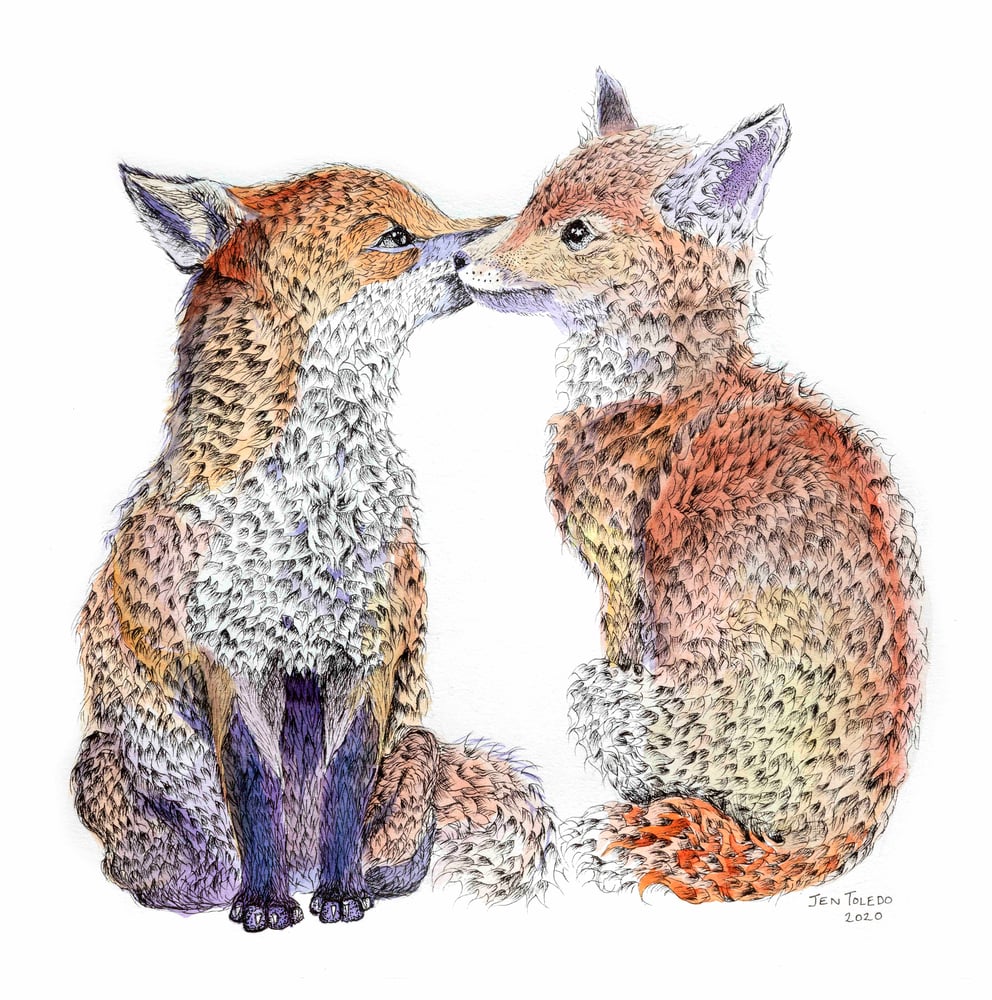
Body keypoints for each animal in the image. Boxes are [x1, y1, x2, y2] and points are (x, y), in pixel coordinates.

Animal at [71, 161, 556, 931]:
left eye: (435, 212)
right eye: (395, 237)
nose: (510, 232)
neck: (308, 522)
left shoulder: (367, 655)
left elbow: (345, 787)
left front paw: (342, 892)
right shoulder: (232, 661)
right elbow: (254, 786)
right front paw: (265, 901)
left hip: (416, 748)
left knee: (400, 847)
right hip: (102, 770)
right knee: (187, 867)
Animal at [454, 71, 925, 902]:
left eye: (575, 232)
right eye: (533, 201)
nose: (458, 259)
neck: (666, 383)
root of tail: (847, 833)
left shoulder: (619, 583)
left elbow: (621, 642)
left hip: (599, 698)